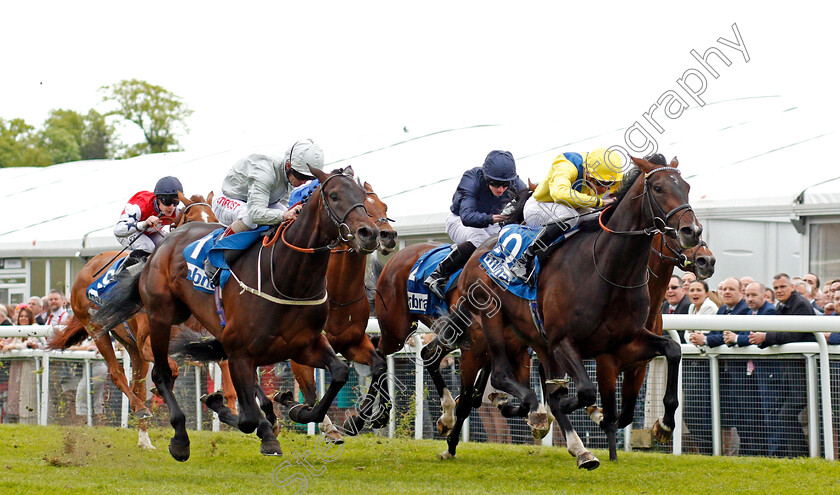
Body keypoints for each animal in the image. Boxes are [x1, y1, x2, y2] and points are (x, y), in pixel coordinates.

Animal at [46, 192, 228, 452]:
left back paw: (144, 438)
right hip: (99, 331)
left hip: (132, 347)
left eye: (213, 218)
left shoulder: (198, 338)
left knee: (137, 386)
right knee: (117, 374)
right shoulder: (148, 343)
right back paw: (141, 409)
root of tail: (86, 269)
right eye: (191, 219)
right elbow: (171, 368)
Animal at [92, 168, 380, 462]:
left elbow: (339, 373)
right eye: (334, 196)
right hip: (160, 318)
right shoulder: (239, 351)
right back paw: (179, 438)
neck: (287, 277)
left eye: (363, 195)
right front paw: (258, 422)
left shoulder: (304, 345)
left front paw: (297, 410)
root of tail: (162, 247)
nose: (370, 233)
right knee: (161, 374)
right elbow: (248, 418)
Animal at [446, 155, 704, 462]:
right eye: (658, 188)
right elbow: (585, 392)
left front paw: (664, 425)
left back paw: (577, 447)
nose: (692, 232)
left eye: (686, 187)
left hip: (535, 340)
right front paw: (593, 414)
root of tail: (478, 250)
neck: (609, 271)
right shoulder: (565, 342)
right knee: (499, 375)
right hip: (490, 321)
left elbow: (672, 349)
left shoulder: (625, 342)